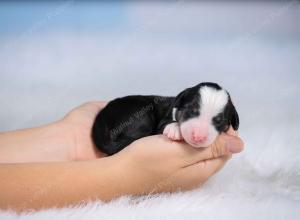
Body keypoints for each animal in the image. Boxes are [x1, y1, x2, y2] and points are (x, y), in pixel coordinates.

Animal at [92, 81, 239, 156]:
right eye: (190, 110)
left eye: (219, 121)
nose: (198, 137)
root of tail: (102, 115)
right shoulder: (162, 121)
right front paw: (175, 129)